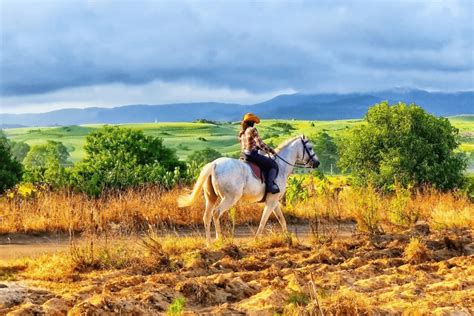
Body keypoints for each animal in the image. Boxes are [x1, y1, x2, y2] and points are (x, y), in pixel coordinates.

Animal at [180, 135, 320, 243]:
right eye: (310, 147)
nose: (317, 163)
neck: (281, 167)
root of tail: (214, 164)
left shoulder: (275, 202)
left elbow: (282, 220)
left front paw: (288, 239)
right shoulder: (271, 202)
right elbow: (263, 220)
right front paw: (257, 239)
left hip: (211, 198)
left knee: (207, 216)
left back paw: (209, 243)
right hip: (230, 198)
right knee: (216, 213)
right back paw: (220, 239)